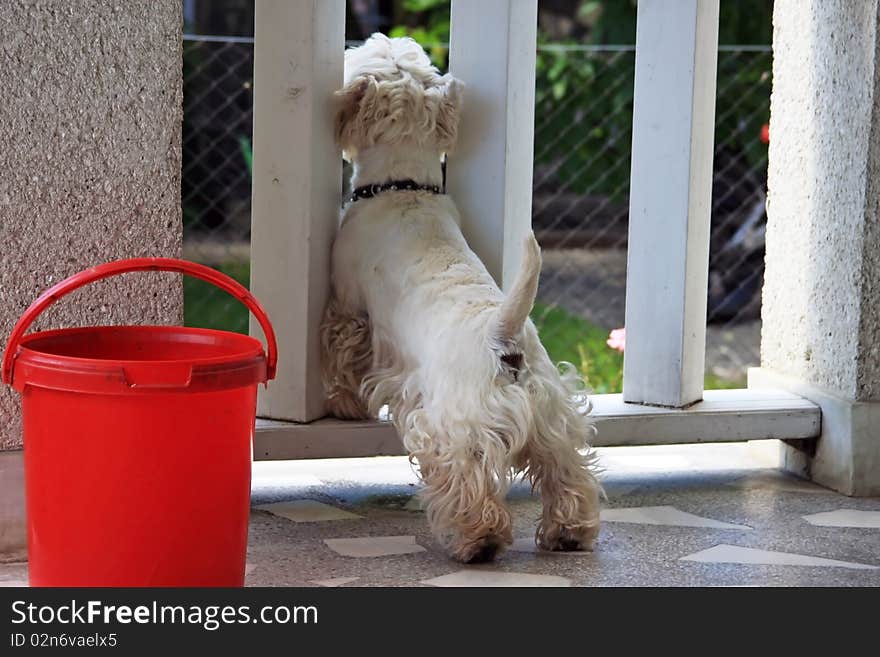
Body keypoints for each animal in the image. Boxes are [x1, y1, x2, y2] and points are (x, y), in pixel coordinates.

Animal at [320, 33, 600, 560]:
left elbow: (342, 354)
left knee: (469, 480)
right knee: (567, 471)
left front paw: (344, 404)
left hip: (457, 425)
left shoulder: (349, 306)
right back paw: (568, 533)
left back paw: (478, 542)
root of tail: (504, 337)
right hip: (553, 417)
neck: (404, 186)